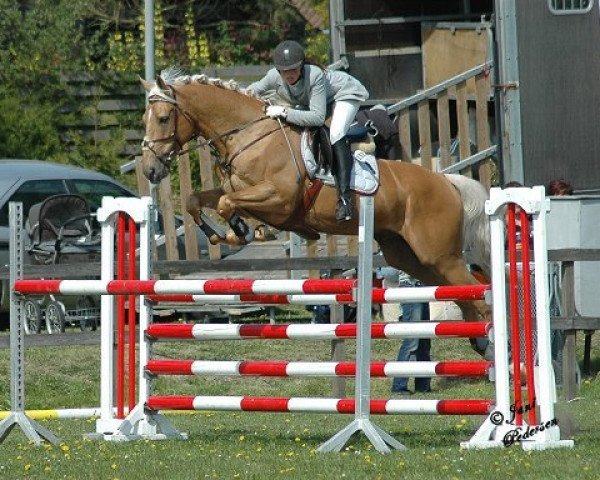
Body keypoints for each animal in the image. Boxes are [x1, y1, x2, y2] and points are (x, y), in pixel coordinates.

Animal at [142, 70, 492, 326]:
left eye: (162, 118)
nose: (150, 169)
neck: (248, 137)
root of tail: (447, 181)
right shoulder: (236, 190)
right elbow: (197, 200)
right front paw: (219, 234)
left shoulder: (279, 200)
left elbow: (228, 205)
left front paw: (241, 231)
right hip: (407, 255)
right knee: (461, 295)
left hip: (441, 255)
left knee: (477, 294)